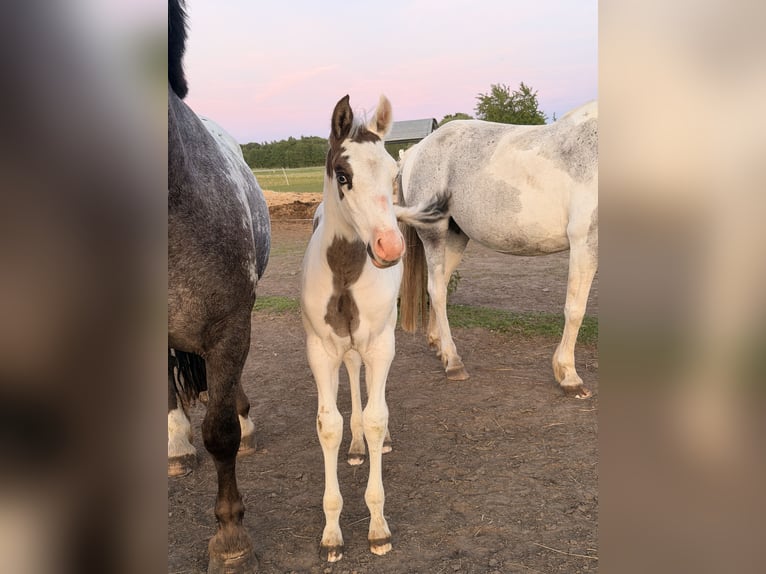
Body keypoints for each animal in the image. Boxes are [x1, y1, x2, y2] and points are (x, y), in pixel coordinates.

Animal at [301, 94, 448, 562]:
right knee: (354, 377)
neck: (346, 273)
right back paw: (355, 447)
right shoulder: (321, 351)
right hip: (346, 348)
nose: (389, 246)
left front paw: (378, 528)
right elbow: (329, 424)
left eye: (393, 175)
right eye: (343, 175)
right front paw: (332, 533)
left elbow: (377, 416)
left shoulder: (382, 346)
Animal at [398, 101, 598, 399]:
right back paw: (453, 362)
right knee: (436, 290)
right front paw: (569, 376)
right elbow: (575, 310)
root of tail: (417, 150)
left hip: (455, 238)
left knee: (439, 285)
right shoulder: (584, 240)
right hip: (434, 233)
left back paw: (440, 348)